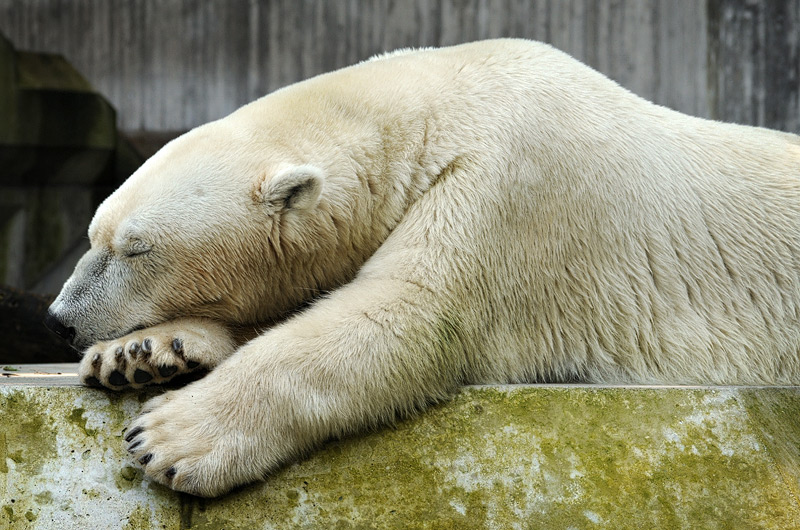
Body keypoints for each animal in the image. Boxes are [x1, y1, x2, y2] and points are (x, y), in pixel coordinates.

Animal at [45, 38, 800, 496]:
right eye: (93, 236)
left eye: (136, 249)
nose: (60, 321)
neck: (438, 107)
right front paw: (142, 354)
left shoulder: (513, 187)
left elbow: (407, 314)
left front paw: (171, 437)